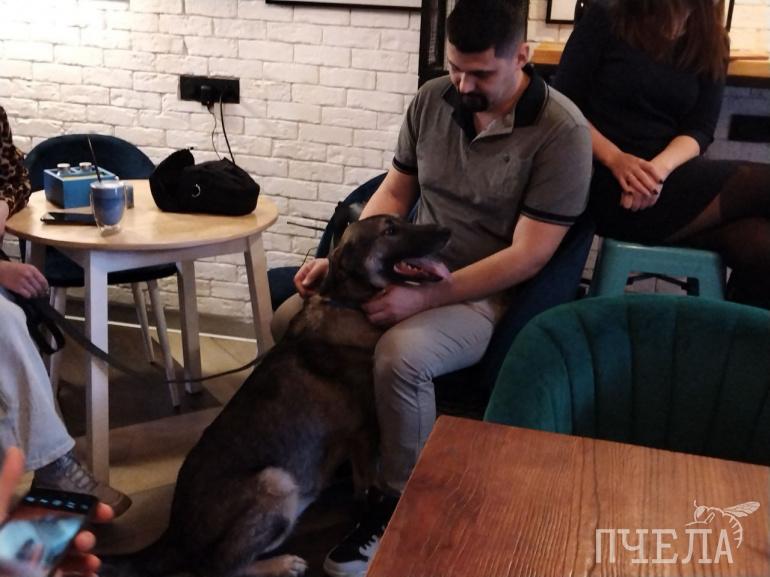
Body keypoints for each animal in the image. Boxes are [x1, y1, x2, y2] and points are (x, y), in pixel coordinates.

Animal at [112, 215, 450, 577]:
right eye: (389, 231)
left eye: (401, 222)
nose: (446, 231)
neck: (348, 303)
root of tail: (175, 533)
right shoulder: (363, 434)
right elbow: (368, 487)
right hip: (277, 482)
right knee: (220, 567)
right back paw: (281, 563)